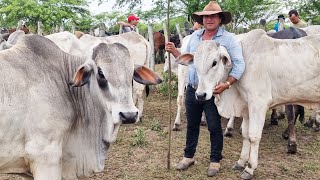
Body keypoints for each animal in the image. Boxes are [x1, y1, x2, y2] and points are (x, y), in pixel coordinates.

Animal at [176, 28, 320, 179]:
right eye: (195, 64)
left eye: (214, 62)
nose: (200, 95)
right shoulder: (246, 107)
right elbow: (245, 134)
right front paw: (240, 162)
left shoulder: (258, 103)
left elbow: (254, 136)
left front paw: (250, 168)